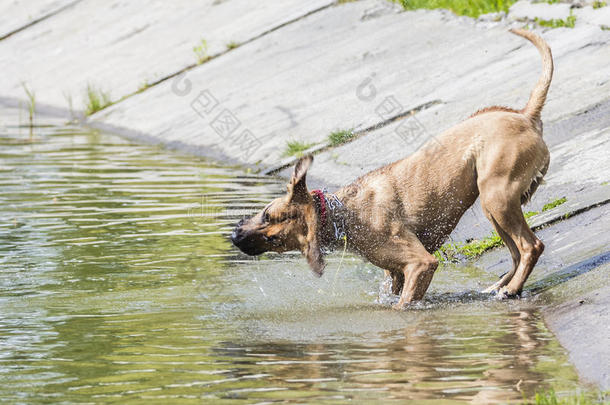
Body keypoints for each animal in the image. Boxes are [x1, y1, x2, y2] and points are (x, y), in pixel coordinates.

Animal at [232, 29, 552, 310]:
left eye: (269, 224)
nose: (234, 236)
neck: (338, 215)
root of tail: (526, 116)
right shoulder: (396, 272)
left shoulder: (421, 264)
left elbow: (402, 305)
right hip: (492, 206)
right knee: (515, 253)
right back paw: (501, 286)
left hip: (497, 197)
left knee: (531, 246)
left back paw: (511, 289)